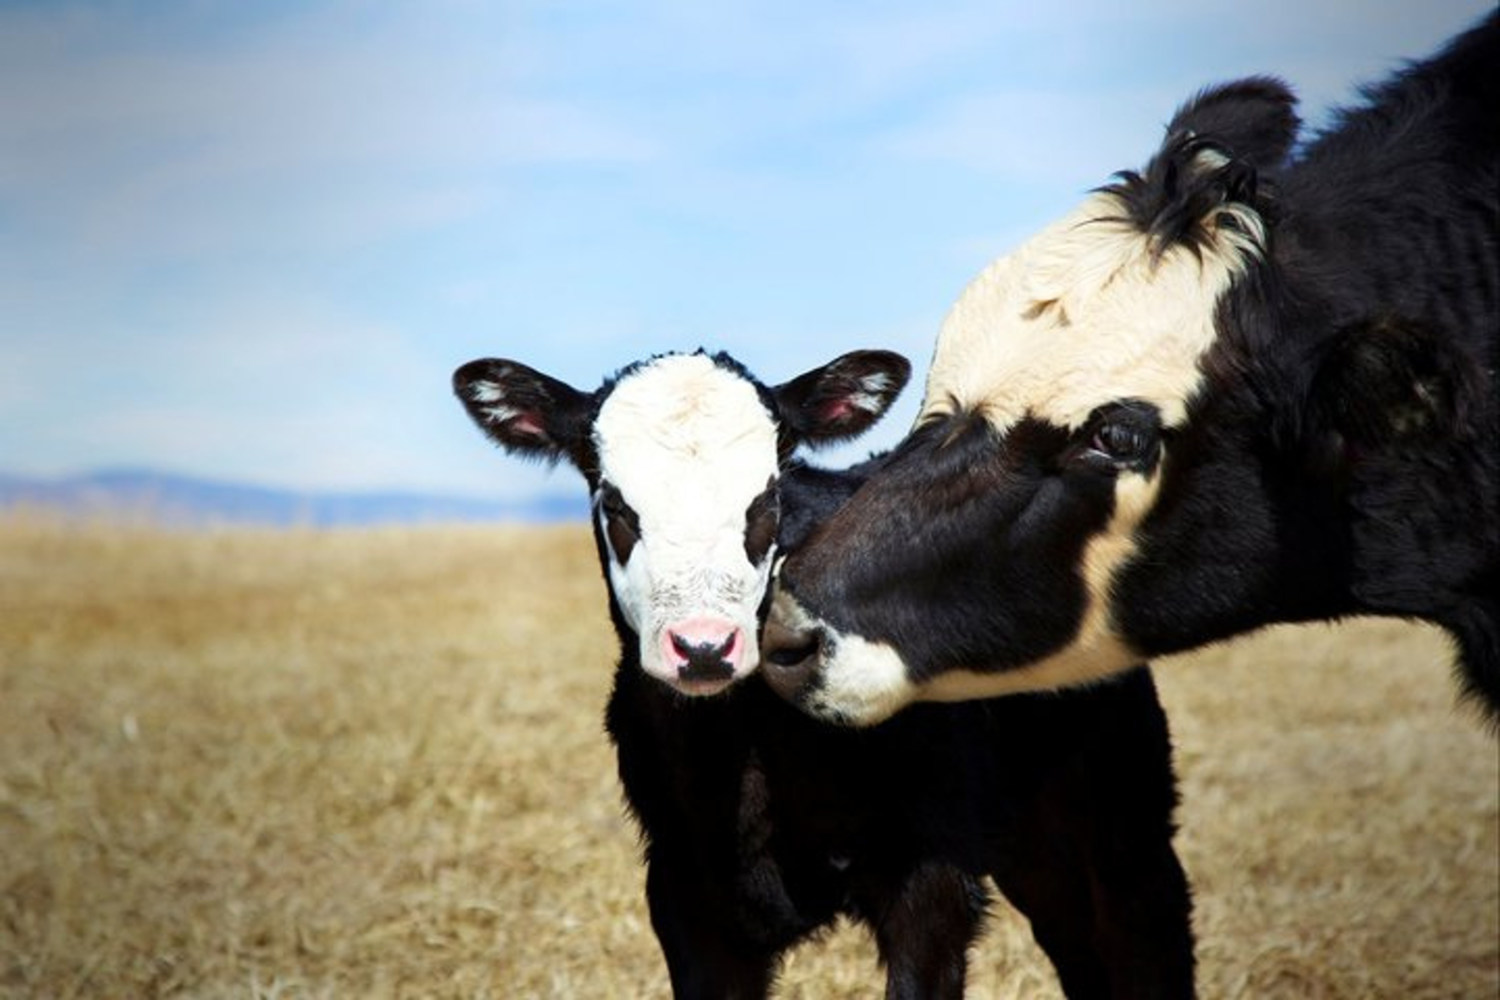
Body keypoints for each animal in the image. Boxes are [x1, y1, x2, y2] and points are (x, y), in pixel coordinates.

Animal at [447, 347, 1194, 995]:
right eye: (614, 503)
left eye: (768, 498)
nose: (704, 647)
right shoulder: (686, 896)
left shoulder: (932, 881)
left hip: (1120, 822)